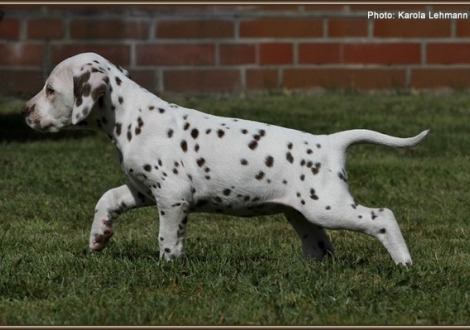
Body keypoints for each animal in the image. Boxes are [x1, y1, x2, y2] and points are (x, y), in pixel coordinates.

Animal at [21, 52, 430, 266]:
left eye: (50, 89)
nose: (25, 111)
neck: (133, 116)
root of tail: (329, 142)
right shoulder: (143, 189)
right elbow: (107, 198)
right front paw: (99, 236)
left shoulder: (172, 196)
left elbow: (168, 236)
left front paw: (168, 266)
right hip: (303, 214)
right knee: (321, 246)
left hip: (327, 206)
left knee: (382, 217)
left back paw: (404, 264)